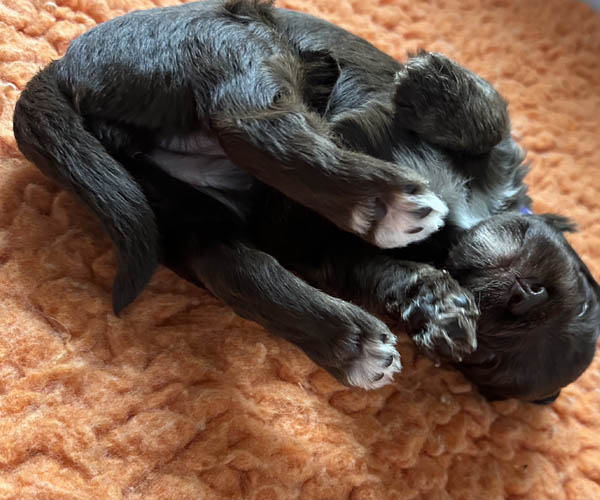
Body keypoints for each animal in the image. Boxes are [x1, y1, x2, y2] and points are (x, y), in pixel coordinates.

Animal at [13, 0, 599, 404]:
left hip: (176, 204)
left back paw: (355, 330)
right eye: (566, 286)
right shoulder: (493, 159)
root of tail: (62, 66)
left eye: (492, 359)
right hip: (236, 40)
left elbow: (385, 273)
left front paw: (443, 312)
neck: (451, 236)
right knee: (248, 120)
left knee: (236, 258)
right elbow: (492, 118)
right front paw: (430, 78)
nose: (525, 294)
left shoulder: (327, 254)